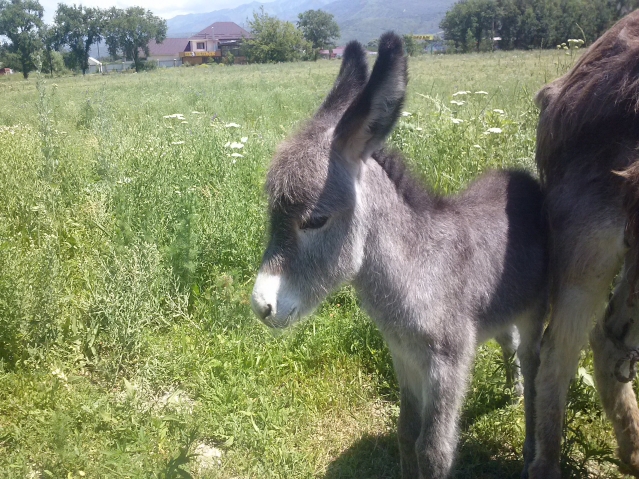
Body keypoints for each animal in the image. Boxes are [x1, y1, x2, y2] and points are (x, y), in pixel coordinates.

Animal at [252, 31, 548, 478]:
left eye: (315, 220)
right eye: (273, 212)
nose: (260, 305)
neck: (417, 270)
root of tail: (522, 179)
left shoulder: (447, 364)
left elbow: (434, 449)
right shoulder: (404, 357)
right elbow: (406, 434)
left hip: (536, 313)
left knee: (534, 368)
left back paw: (531, 444)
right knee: (509, 340)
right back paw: (512, 392)